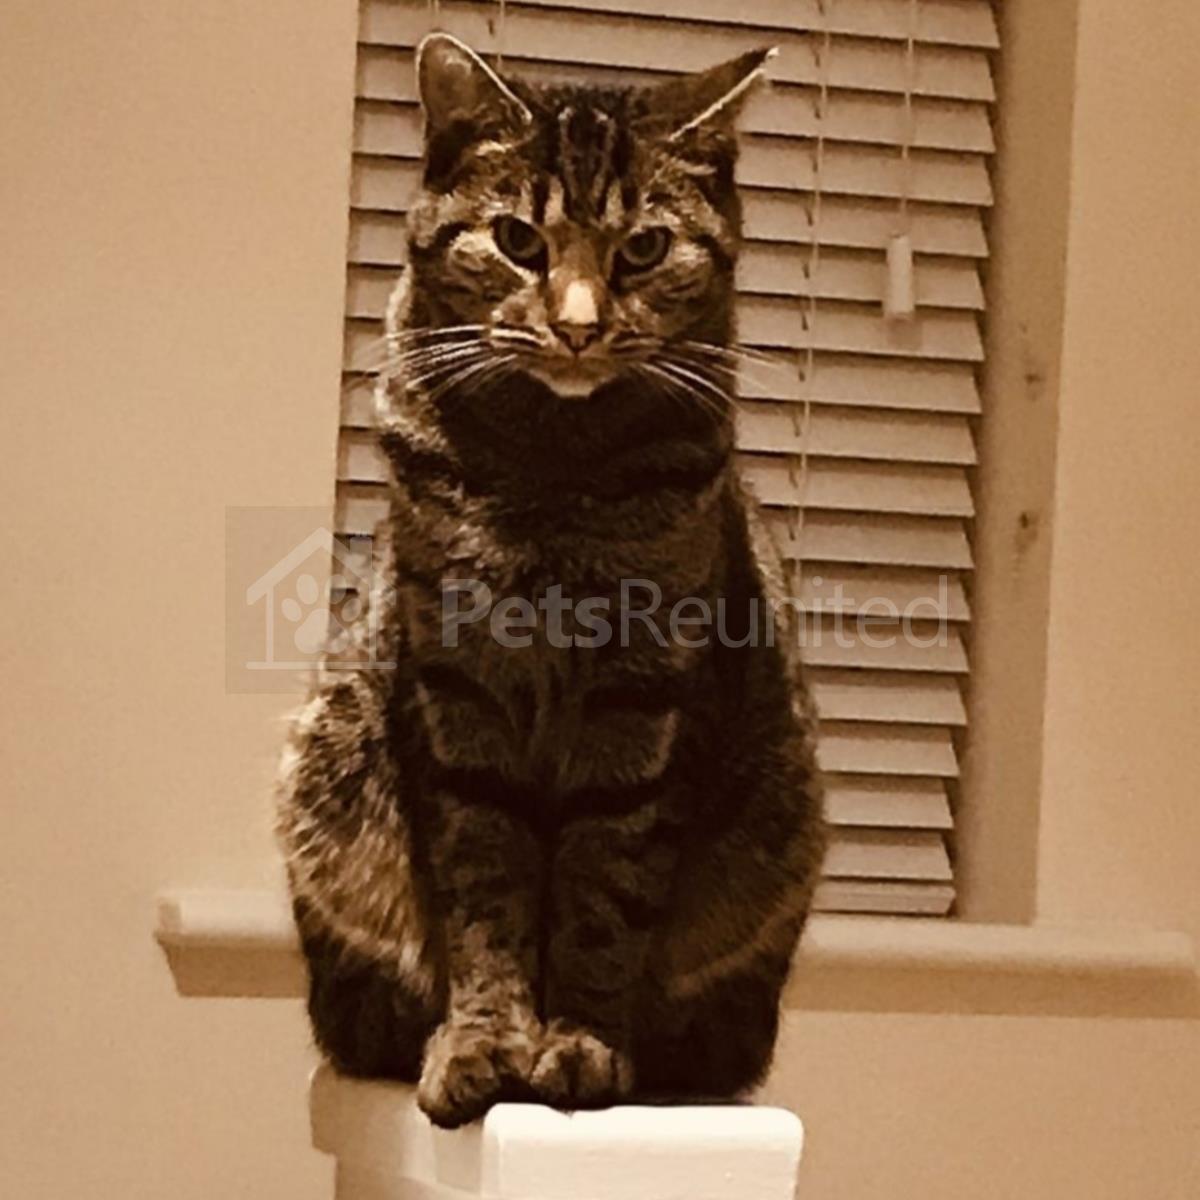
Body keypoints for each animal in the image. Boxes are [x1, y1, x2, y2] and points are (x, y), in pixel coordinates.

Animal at [277, 32, 826, 1129]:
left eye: (645, 249)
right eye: (517, 239)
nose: (577, 324)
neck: (553, 475)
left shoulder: (645, 702)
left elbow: (602, 891)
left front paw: (577, 1043)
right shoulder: (455, 694)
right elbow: (484, 896)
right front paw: (486, 1043)